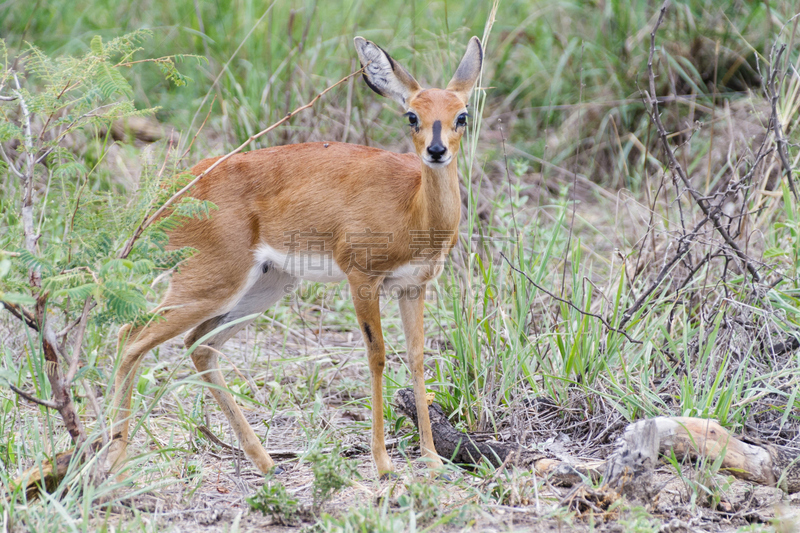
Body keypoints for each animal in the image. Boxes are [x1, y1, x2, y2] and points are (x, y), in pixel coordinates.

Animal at [110, 37, 484, 478]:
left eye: (461, 115)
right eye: (412, 115)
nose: (436, 150)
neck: (413, 208)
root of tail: (178, 190)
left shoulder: (412, 287)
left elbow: (417, 357)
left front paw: (431, 458)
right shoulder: (362, 279)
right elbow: (376, 357)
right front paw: (382, 462)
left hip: (264, 287)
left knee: (199, 346)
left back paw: (265, 461)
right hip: (209, 284)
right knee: (130, 335)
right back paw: (115, 461)